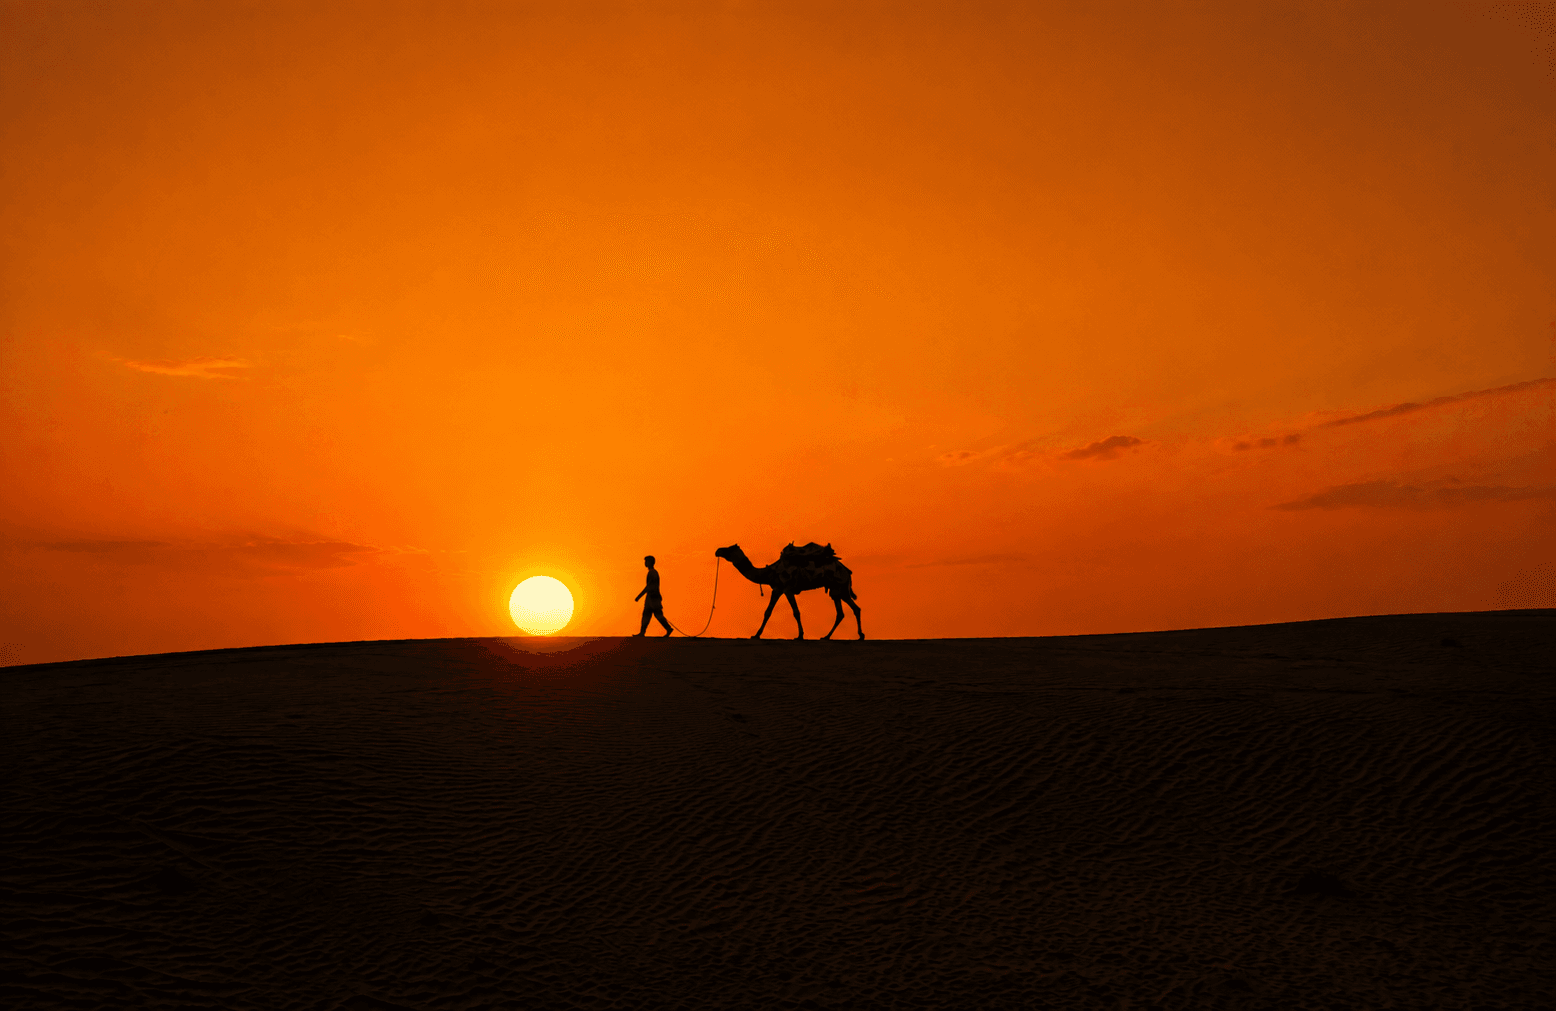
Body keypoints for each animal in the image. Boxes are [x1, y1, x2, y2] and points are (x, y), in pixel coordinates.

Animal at [714, 542, 864, 640]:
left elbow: (795, 612)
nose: (718, 550)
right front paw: (756, 635)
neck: (770, 572)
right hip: (837, 590)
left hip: (840, 586)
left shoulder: (787, 589)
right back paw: (829, 636)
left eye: (729, 549)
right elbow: (768, 612)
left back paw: (855, 635)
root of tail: (847, 571)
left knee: (848, 610)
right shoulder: (778, 589)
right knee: (846, 611)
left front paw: (800, 636)